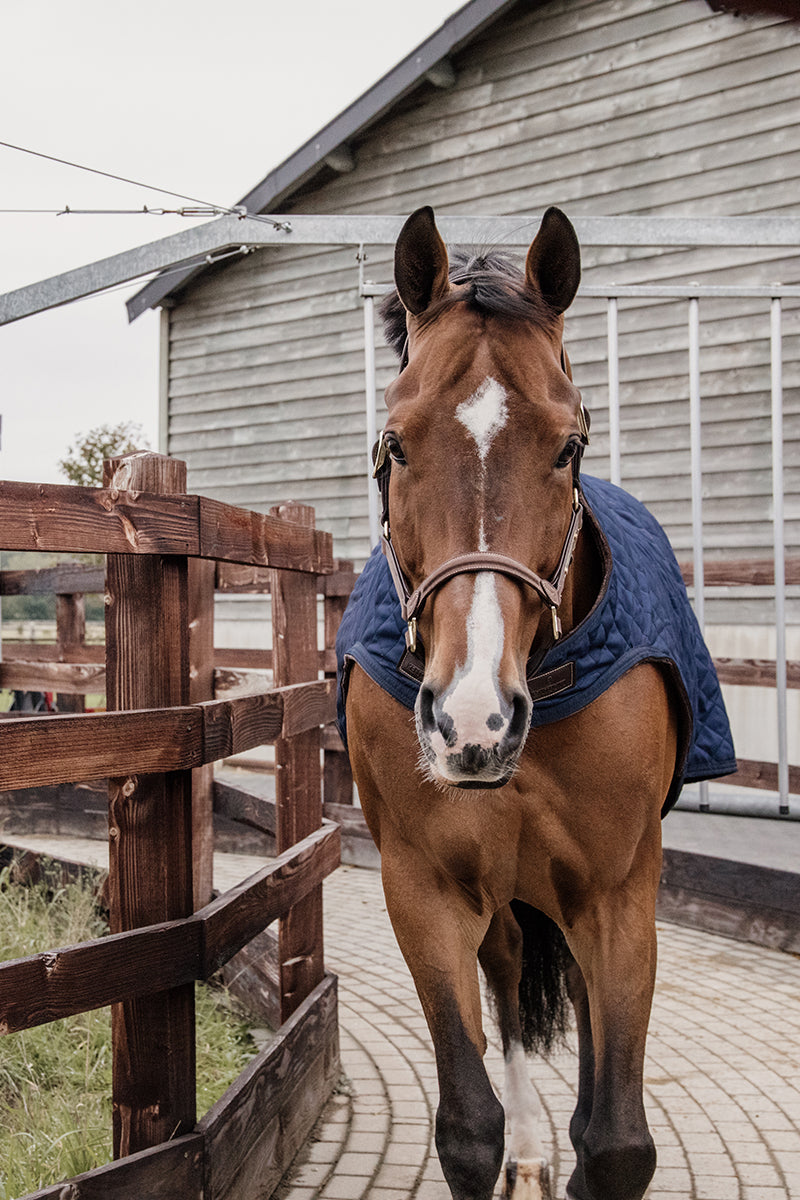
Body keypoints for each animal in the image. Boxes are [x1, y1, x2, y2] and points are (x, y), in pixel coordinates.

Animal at [340, 206, 729, 1200]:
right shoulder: (424, 890)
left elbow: (619, 1139)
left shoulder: (618, 894)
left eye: (569, 445)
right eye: (397, 442)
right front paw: (508, 1143)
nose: (471, 721)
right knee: (512, 973)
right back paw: (529, 1146)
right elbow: (467, 1127)